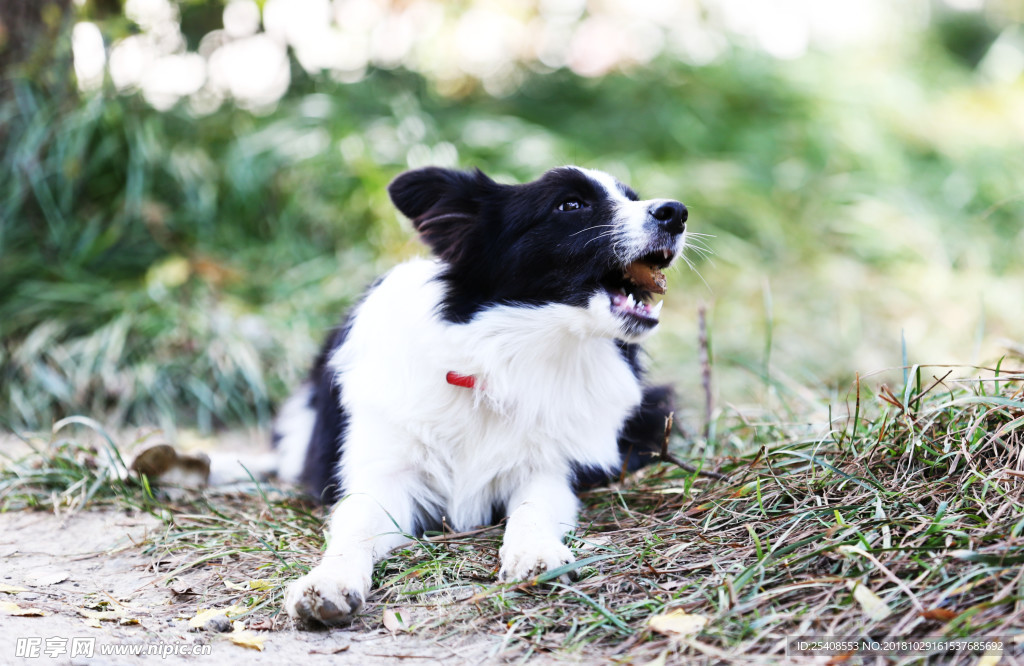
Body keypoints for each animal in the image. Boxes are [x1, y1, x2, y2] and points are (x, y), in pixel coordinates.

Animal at [278, 162, 688, 627]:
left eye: (632, 197)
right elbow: (355, 527)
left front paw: (536, 553)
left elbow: (534, 507)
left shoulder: (551, 467)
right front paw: (327, 580)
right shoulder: (383, 475)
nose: (676, 212)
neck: (498, 363)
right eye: (570, 204)